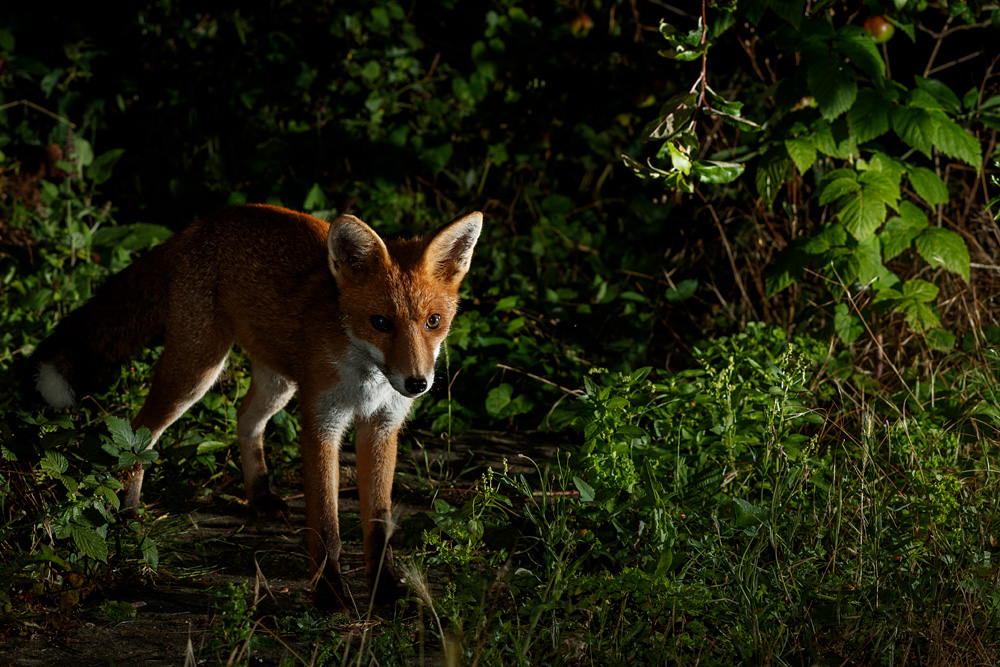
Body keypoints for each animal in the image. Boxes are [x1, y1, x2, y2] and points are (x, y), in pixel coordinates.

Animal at [31, 203, 483, 610]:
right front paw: (330, 595)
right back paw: (127, 513)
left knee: (245, 420)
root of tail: (203, 222)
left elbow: (379, 525)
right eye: (381, 323)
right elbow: (327, 529)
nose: (416, 383)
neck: (366, 379)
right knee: (140, 433)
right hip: (196, 370)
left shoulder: (382, 426)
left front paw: (385, 591)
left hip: (278, 381)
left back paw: (260, 494)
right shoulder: (321, 423)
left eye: (433, 322)